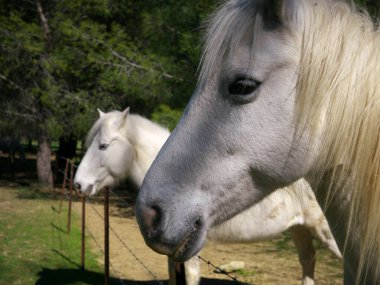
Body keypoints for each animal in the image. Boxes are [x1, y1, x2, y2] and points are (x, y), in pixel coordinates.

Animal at [74, 108, 342, 284]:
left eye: (103, 146)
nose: (78, 184)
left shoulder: (190, 251)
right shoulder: (174, 255)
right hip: (300, 229)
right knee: (308, 261)